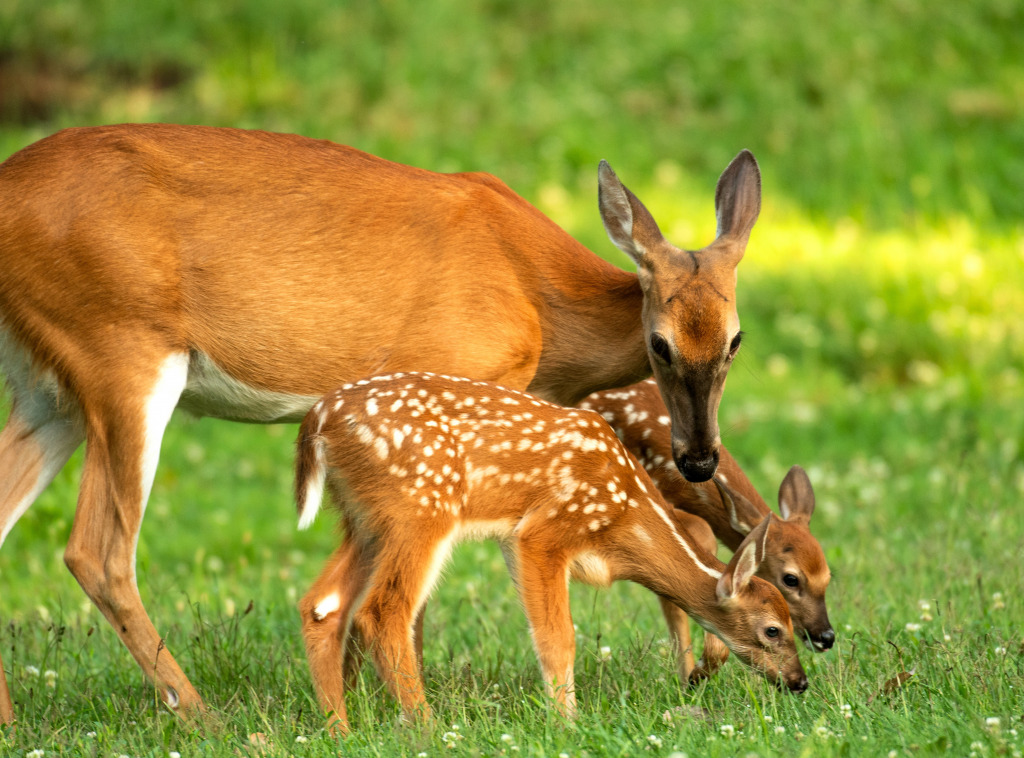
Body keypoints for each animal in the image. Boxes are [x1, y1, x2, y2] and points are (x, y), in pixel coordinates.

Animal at [0, 124, 761, 721]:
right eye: (659, 345)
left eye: (736, 340)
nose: (698, 458)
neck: (543, 304)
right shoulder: (444, 385)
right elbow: (414, 596)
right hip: (122, 351)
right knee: (98, 552)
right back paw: (204, 718)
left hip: (49, 392)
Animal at [292, 372, 802, 733]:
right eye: (773, 630)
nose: (800, 681)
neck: (625, 517)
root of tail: (318, 422)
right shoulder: (544, 531)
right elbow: (559, 636)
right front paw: (567, 722)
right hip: (420, 508)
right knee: (383, 609)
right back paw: (428, 728)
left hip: (363, 520)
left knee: (322, 604)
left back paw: (339, 730)